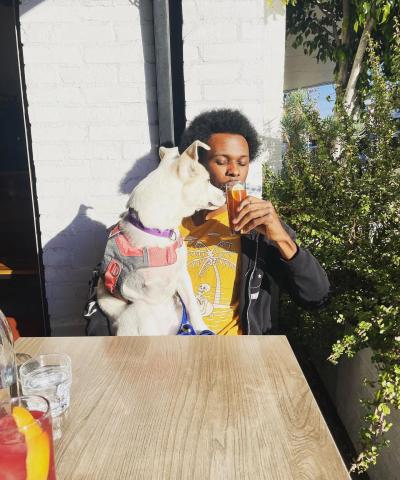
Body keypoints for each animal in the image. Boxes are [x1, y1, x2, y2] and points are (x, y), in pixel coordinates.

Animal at [96, 141, 225, 336]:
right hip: (138, 312)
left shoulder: (181, 275)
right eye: (208, 181)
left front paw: (202, 329)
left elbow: (192, 305)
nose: (225, 193)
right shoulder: (139, 290)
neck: (158, 231)